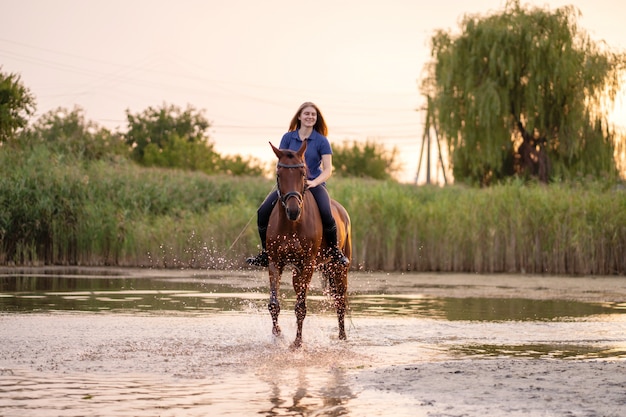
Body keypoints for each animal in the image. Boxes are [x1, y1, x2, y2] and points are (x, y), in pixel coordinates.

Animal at [264, 141, 348, 348]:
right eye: (279, 174)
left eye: (303, 173)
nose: (293, 210)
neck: (292, 224)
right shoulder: (275, 262)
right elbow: (274, 304)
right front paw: (278, 335)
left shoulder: (308, 264)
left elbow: (301, 307)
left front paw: (297, 342)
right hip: (298, 271)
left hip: (338, 268)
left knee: (340, 302)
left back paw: (342, 338)